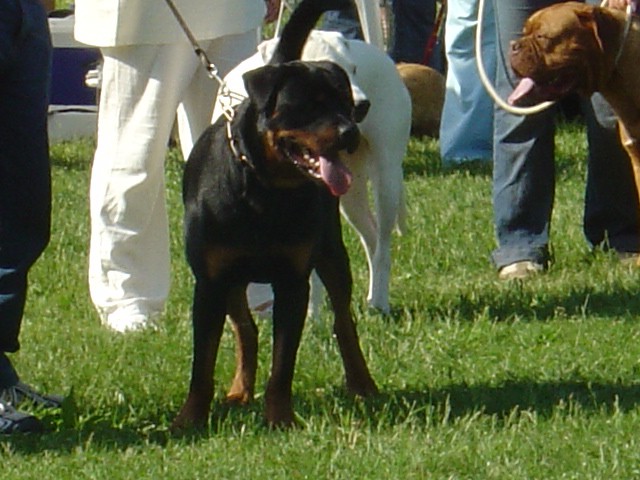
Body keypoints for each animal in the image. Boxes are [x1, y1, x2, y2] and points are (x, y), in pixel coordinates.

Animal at [215, 30, 412, 316]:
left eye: (353, 70)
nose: (362, 106)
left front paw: (312, 315)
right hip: (351, 194)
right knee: (372, 238)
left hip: (386, 180)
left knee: (383, 246)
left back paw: (380, 302)